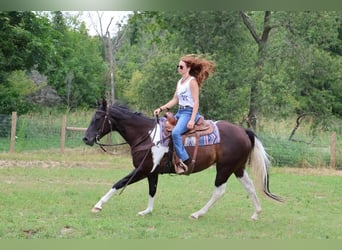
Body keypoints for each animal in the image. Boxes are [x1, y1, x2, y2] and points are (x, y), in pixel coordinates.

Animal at [83, 100, 284, 221]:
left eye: (99, 117)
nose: (86, 138)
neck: (146, 135)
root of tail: (243, 131)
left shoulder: (143, 169)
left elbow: (119, 183)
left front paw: (97, 206)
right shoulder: (152, 171)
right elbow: (152, 190)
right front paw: (147, 211)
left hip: (224, 168)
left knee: (219, 191)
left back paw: (197, 213)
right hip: (238, 168)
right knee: (250, 186)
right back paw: (256, 214)